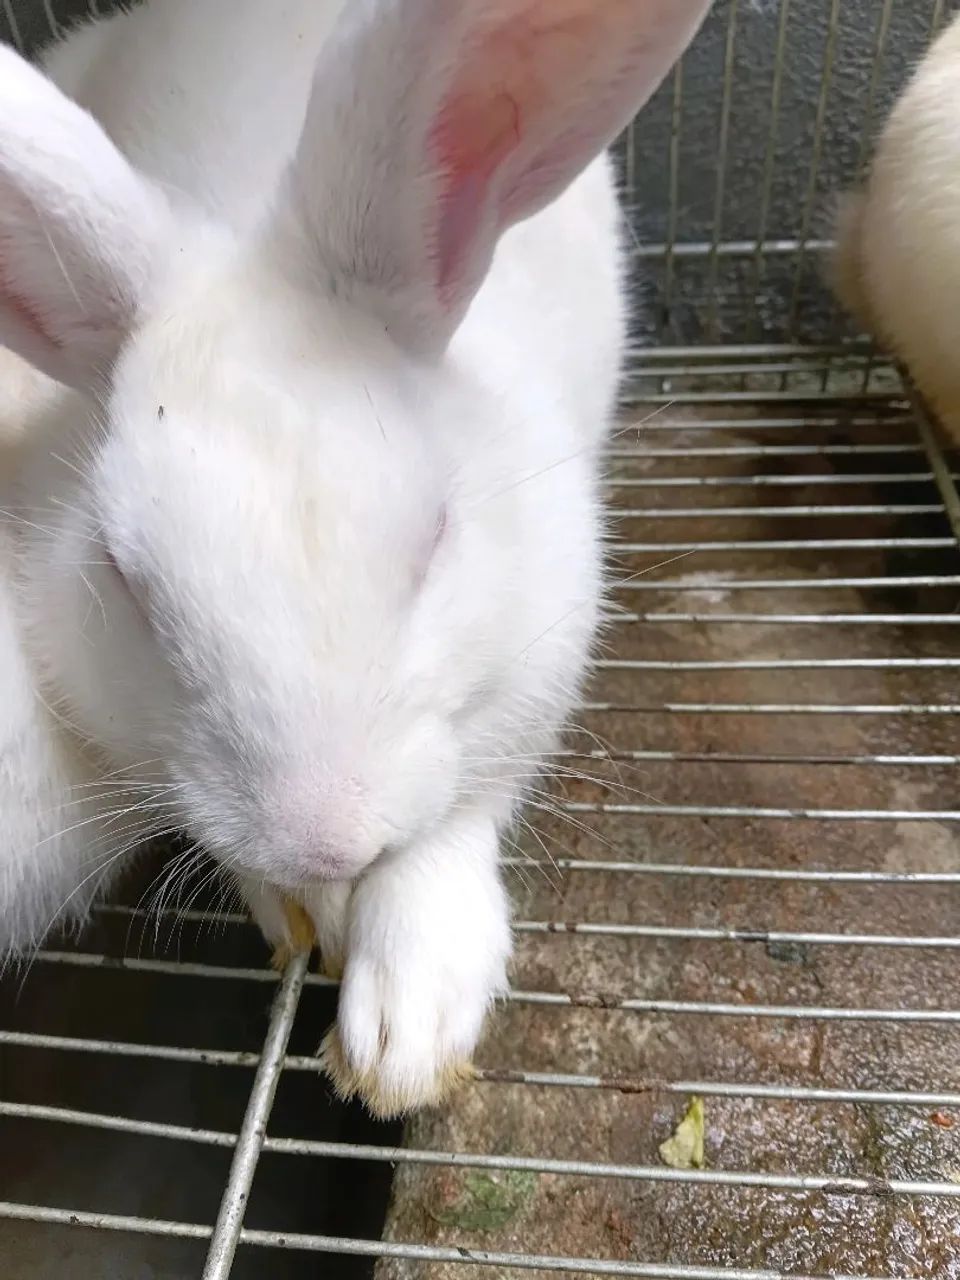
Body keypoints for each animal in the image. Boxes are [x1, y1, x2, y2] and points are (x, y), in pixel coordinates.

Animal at [0, 0, 713, 1115]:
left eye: (435, 534)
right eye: (127, 582)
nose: (325, 834)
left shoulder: (525, 689)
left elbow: (448, 835)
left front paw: (405, 1036)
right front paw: (307, 913)